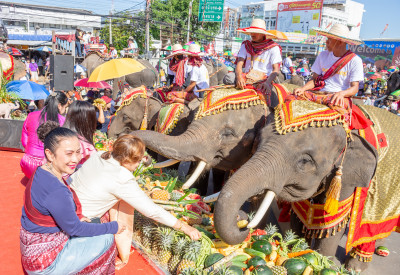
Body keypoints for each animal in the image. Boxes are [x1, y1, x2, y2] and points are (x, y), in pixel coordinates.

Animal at [212, 103, 400, 274]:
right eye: (258, 141)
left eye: (305, 161)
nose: (242, 219)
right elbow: (300, 213)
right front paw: (299, 249)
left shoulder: (348, 177)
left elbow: (333, 220)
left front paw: (325, 262)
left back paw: (356, 266)